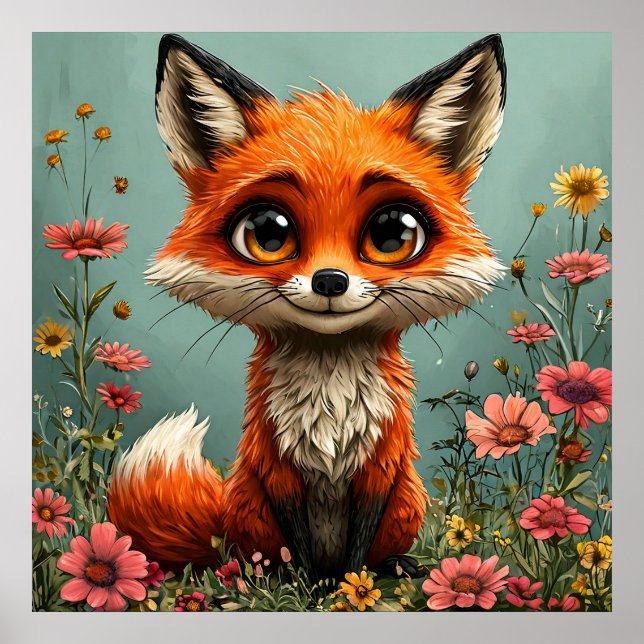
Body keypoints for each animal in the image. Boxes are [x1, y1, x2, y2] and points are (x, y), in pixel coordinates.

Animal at [107, 33, 506, 581]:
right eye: (268, 233)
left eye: (392, 233)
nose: (331, 280)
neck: (331, 394)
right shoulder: (277, 469)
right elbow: (297, 547)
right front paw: (306, 586)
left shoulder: (380, 468)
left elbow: (358, 548)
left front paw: (350, 584)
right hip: (249, 508)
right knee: (251, 555)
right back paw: (261, 576)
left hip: (408, 499)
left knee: (382, 548)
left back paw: (395, 566)